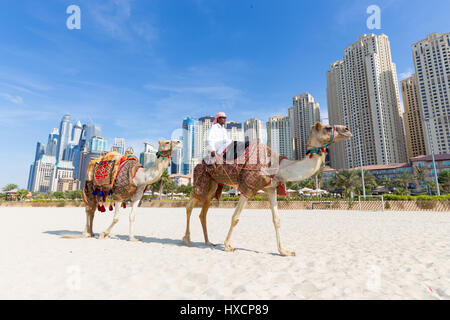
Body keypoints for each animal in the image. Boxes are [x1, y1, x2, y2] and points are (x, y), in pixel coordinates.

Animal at [183, 121, 352, 256]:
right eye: (327, 127)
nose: (347, 129)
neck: (278, 166)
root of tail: (199, 163)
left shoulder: (271, 189)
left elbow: (276, 219)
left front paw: (284, 251)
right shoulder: (248, 187)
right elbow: (235, 217)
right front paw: (228, 246)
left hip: (213, 186)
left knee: (203, 211)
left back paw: (207, 242)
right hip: (202, 181)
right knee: (190, 205)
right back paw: (186, 239)